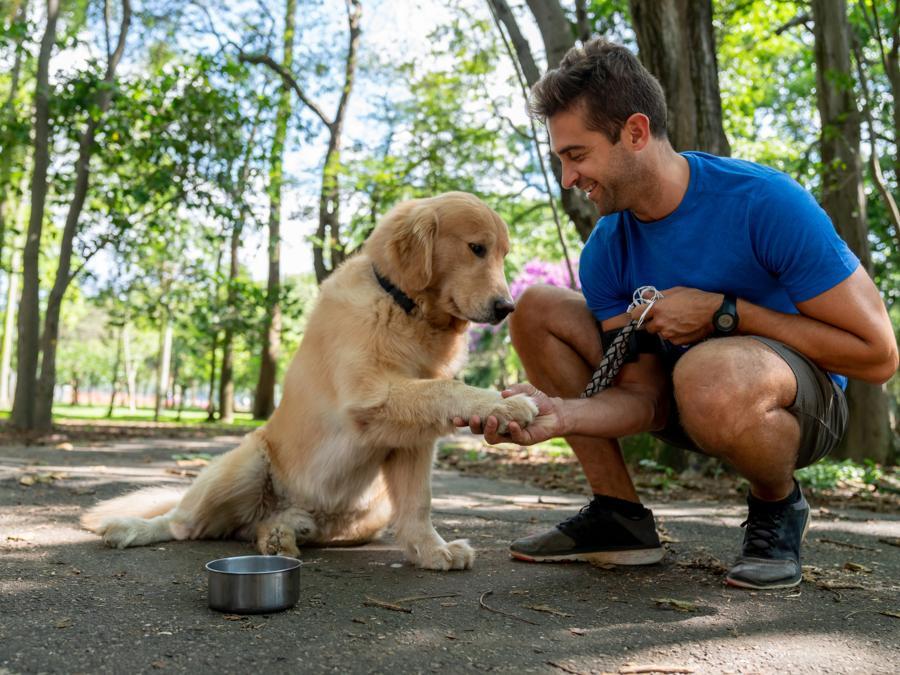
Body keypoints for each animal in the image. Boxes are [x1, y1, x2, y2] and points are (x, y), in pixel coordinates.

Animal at [82, 190, 536, 572]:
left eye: (503, 254)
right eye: (476, 248)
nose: (508, 307)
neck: (405, 308)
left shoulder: (412, 441)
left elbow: (418, 504)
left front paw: (431, 551)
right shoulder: (367, 397)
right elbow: (447, 388)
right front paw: (504, 404)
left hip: (365, 511)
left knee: (261, 527)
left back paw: (282, 534)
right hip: (244, 464)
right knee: (182, 523)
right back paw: (131, 528)